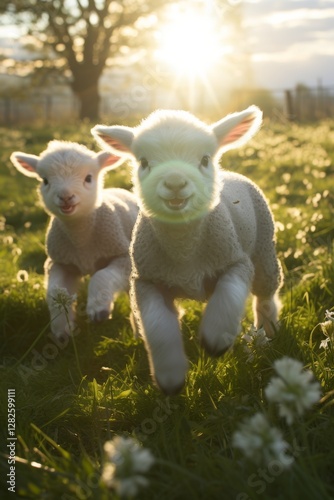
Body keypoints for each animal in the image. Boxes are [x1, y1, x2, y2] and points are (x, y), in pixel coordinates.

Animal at [10, 140, 138, 340]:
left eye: (88, 178)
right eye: (45, 181)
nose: (65, 197)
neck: (81, 238)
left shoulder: (123, 255)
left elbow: (102, 275)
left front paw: (98, 309)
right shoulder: (60, 262)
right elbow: (55, 293)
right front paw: (61, 330)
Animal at [91, 106, 282, 394]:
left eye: (204, 159)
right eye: (143, 162)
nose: (174, 182)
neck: (185, 251)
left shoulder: (236, 260)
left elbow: (229, 293)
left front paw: (216, 338)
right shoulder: (146, 280)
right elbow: (158, 325)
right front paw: (169, 375)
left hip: (263, 249)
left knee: (266, 294)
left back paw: (267, 330)